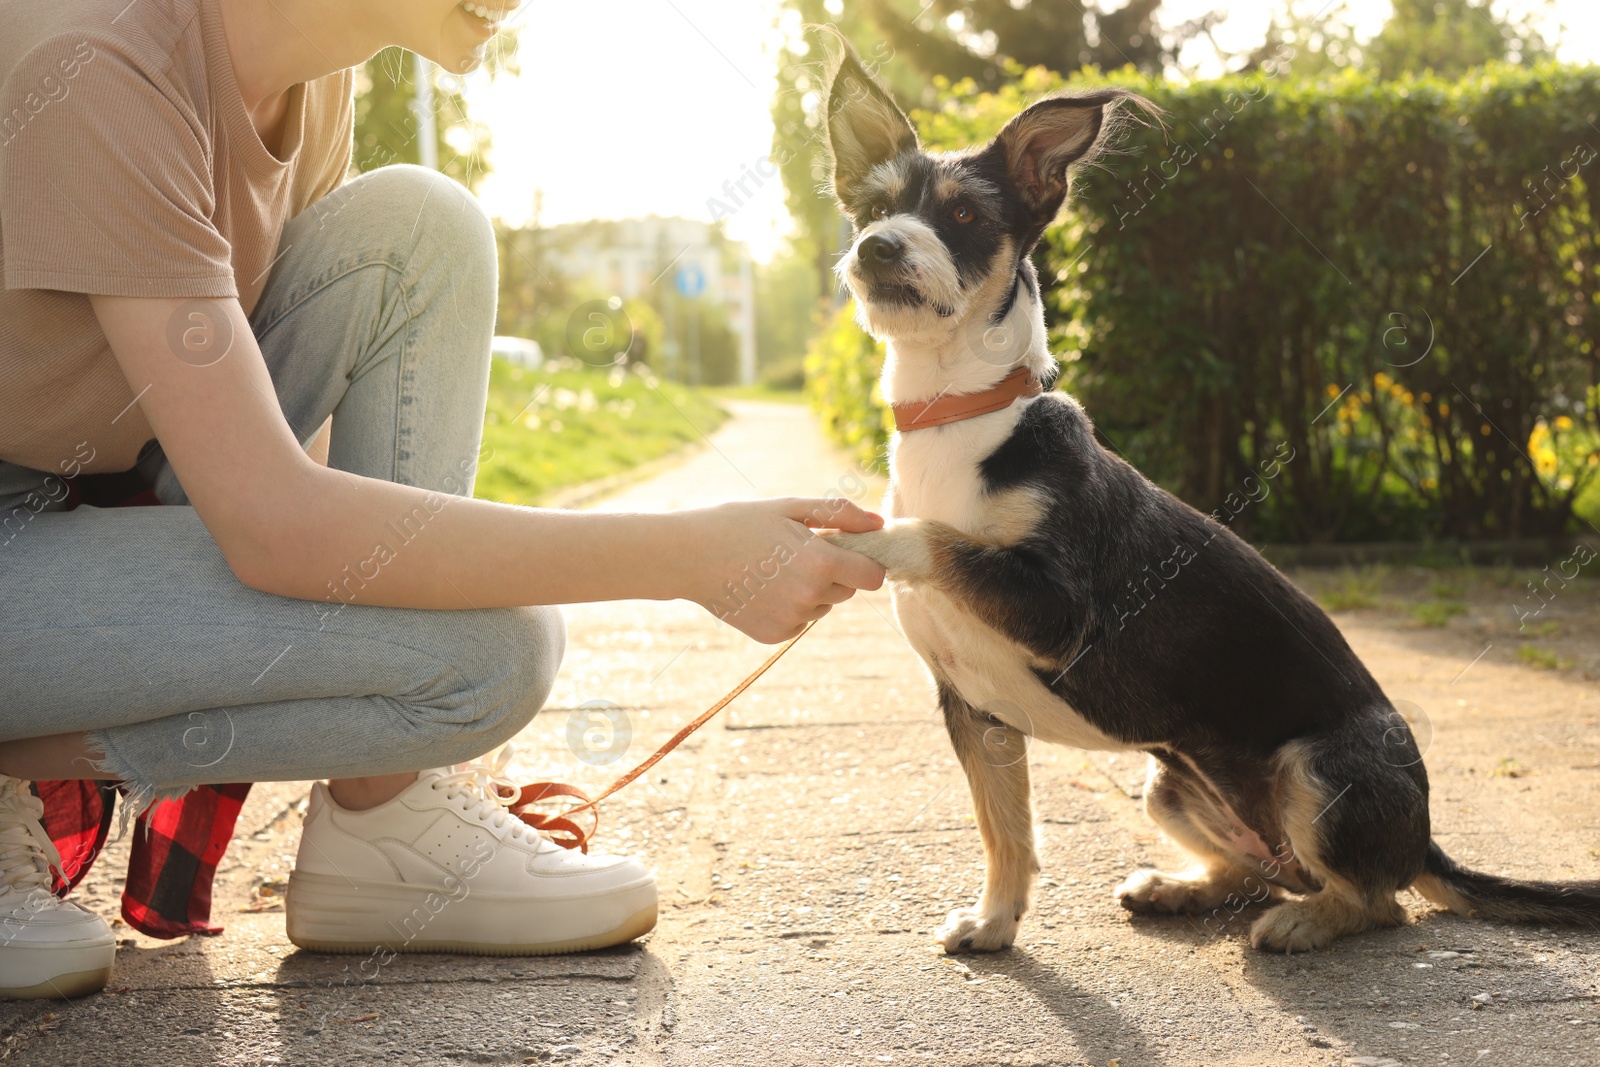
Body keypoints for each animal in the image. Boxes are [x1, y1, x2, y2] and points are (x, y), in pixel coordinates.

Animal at [819, 33, 1593, 953]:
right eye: (872, 208)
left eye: (966, 216)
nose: (878, 247)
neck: (959, 416)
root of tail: (1426, 839)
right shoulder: (976, 711)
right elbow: (1004, 830)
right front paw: (994, 922)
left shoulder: (1057, 611)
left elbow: (935, 537)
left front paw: (852, 537)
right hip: (1168, 783)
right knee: (1255, 870)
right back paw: (1179, 887)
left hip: (1319, 769)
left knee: (1377, 899)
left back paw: (1303, 922)